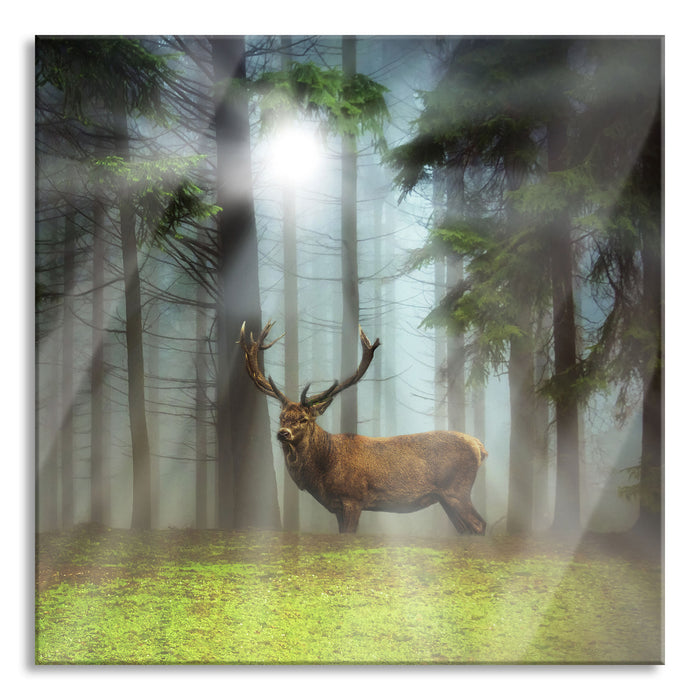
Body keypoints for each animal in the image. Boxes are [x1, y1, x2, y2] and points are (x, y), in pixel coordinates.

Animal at [239, 320, 487, 535]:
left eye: (304, 419)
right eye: (281, 417)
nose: (283, 433)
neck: (323, 469)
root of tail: (479, 446)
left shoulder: (353, 499)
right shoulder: (337, 507)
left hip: (457, 489)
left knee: (479, 525)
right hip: (446, 497)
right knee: (466, 529)